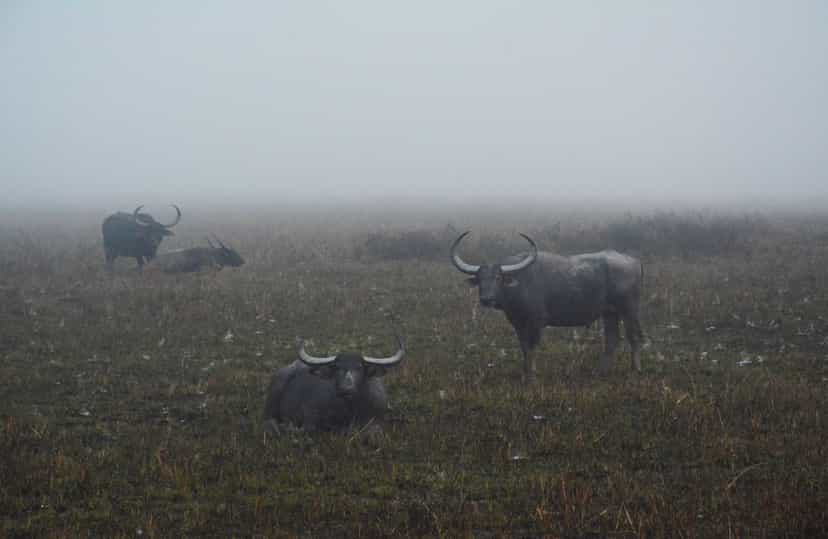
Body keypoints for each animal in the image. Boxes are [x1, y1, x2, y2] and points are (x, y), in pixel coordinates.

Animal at [451, 232, 644, 379]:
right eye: (480, 278)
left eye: (498, 278)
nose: (486, 299)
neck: (520, 283)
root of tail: (633, 261)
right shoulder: (518, 323)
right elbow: (524, 347)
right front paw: (525, 371)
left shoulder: (537, 322)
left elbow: (532, 346)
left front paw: (532, 374)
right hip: (610, 313)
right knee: (612, 339)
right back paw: (601, 371)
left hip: (629, 310)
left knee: (633, 337)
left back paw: (635, 368)